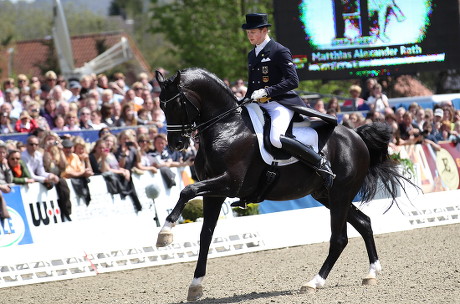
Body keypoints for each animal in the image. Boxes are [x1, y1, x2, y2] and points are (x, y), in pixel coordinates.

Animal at [156, 67, 412, 300]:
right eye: (161, 105)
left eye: (177, 103)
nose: (176, 144)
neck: (227, 127)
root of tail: (356, 135)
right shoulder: (214, 193)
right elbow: (205, 235)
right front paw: (195, 285)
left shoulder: (228, 184)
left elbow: (187, 190)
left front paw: (165, 231)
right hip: (327, 195)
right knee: (364, 223)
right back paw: (371, 273)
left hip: (340, 195)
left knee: (339, 238)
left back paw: (314, 282)